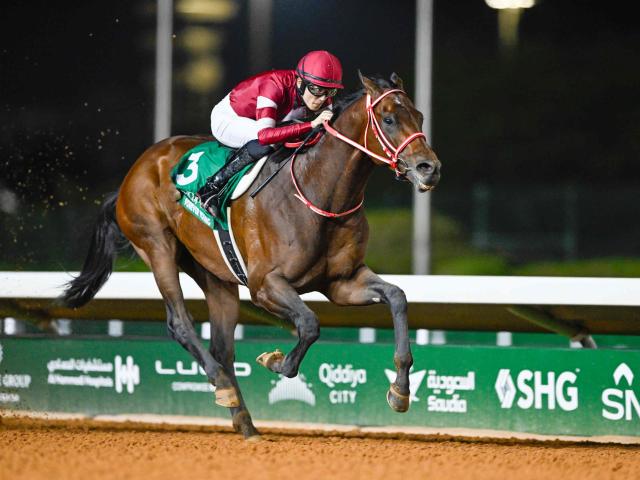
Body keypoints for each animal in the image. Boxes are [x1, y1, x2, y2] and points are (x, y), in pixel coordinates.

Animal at [62, 72, 441, 439]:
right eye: (389, 119)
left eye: (420, 116)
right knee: (181, 324)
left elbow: (397, 297)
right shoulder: (265, 285)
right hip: (157, 246)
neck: (320, 193)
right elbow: (309, 324)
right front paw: (274, 360)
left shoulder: (342, 282)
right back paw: (223, 386)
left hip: (214, 273)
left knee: (222, 346)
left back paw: (244, 422)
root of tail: (136, 169)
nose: (429, 167)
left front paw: (400, 391)